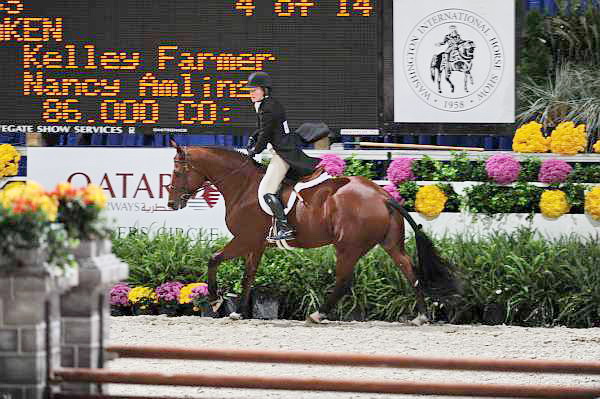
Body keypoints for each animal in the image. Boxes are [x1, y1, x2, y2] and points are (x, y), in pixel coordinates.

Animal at [168, 144, 460, 324]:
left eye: (178, 171)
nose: (172, 203)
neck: (243, 186)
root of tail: (382, 195)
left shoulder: (245, 239)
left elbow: (214, 259)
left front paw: (216, 301)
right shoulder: (256, 244)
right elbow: (248, 276)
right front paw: (238, 312)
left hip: (348, 247)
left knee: (344, 280)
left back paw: (318, 314)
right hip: (390, 244)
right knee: (410, 271)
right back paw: (421, 316)